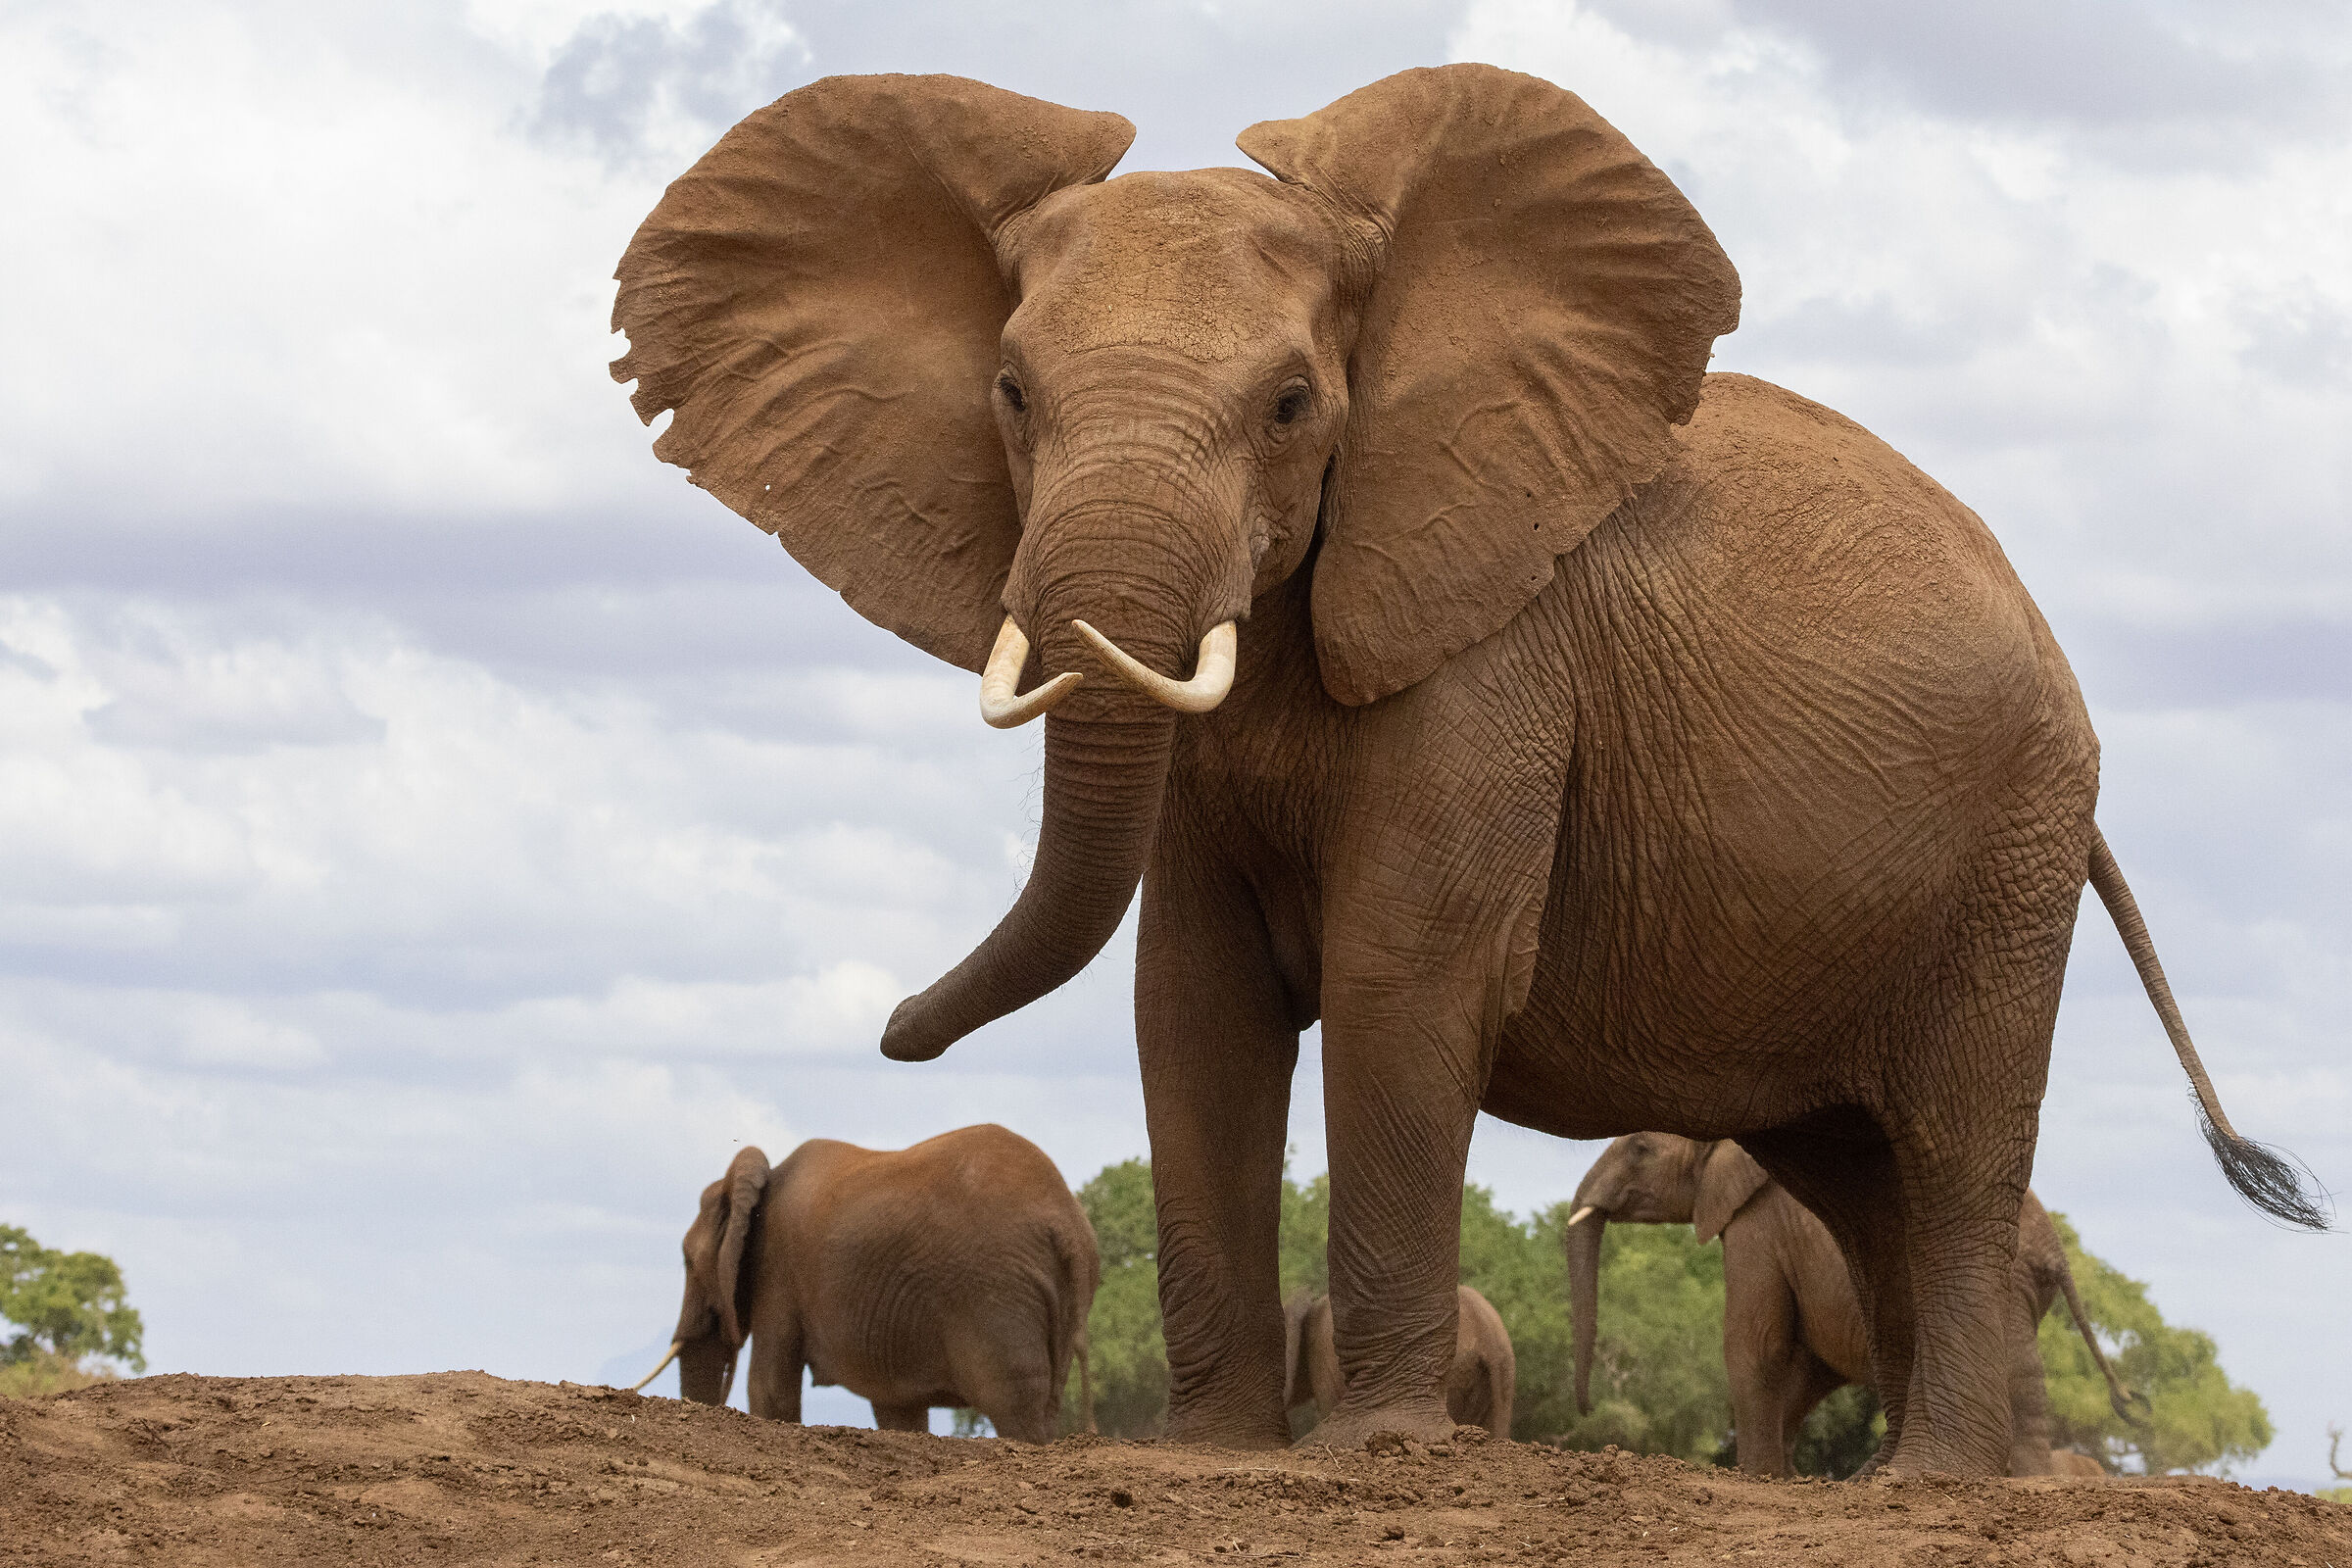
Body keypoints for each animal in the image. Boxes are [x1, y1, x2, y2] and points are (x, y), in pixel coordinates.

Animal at [630, 1125, 1097, 1442]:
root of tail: (1066, 1223)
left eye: (688, 1260)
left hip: (994, 1292)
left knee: (1014, 1407)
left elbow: (769, 1389)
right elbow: (899, 1410)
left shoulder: (778, 1272)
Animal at [1565, 1132, 2136, 1476]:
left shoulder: (1758, 1223)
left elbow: (1756, 1342)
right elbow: (1807, 1371)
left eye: (1641, 1148)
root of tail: (2056, 1249)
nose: (1588, 1409)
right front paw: (1789, 1477)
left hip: (2006, 1281)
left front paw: (1759, 1476)